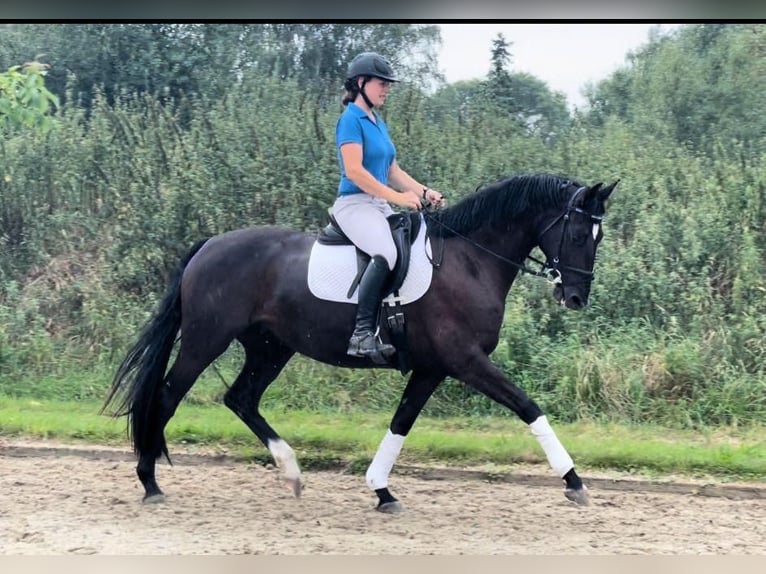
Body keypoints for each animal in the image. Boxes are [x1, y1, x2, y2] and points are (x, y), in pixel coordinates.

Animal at [102, 173, 616, 516]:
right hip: (206, 341)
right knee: (167, 396)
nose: (575, 297)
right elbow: (529, 407)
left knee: (241, 398)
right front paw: (574, 481)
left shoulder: (432, 368)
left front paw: (381, 491)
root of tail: (208, 246)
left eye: (598, 235)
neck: (470, 259)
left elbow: (401, 423)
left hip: (270, 348)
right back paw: (150, 482)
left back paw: (291, 472)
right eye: (576, 232)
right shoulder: (465, 361)